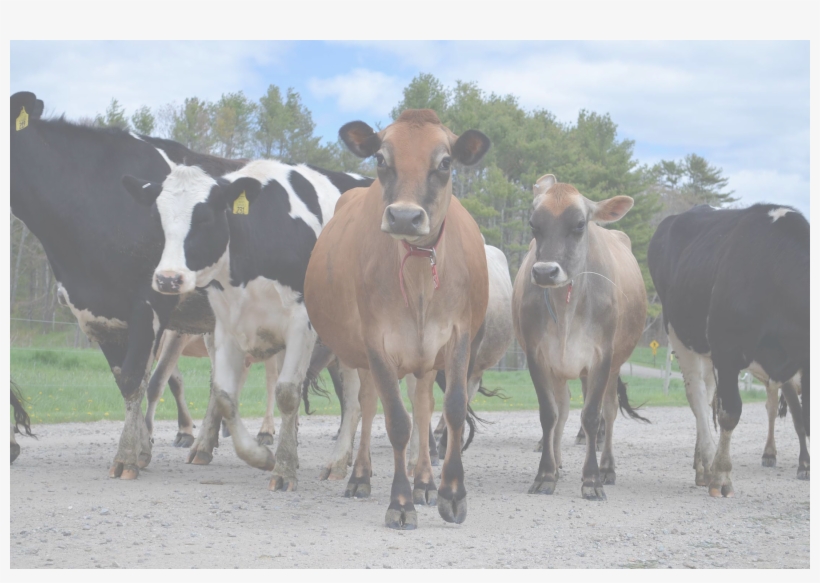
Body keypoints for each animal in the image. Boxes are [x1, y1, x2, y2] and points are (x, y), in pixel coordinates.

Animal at [10, 92, 243, 480]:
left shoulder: (152, 301)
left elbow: (137, 379)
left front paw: (129, 459)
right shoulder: (96, 310)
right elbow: (126, 379)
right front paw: (141, 450)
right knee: (219, 380)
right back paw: (203, 448)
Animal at [124, 159, 372, 488]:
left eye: (205, 218)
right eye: (158, 219)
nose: (167, 279)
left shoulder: (301, 323)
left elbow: (287, 394)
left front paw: (284, 470)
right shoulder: (227, 327)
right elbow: (224, 396)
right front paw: (260, 457)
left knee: (357, 402)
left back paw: (343, 464)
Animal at [306, 109, 486, 528]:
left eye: (445, 162)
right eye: (381, 159)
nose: (404, 216)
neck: (419, 275)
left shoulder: (457, 337)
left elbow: (452, 410)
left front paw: (451, 494)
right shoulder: (377, 343)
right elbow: (396, 422)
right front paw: (400, 502)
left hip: (424, 360)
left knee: (422, 406)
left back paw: (425, 482)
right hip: (358, 354)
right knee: (368, 405)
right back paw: (360, 476)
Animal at [512, 175, 648, 502]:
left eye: (579, 224)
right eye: (534, 225)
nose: (545, 272)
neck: (566, 309)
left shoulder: (601, 358)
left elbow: (591, 417)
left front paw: (592, 480)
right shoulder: (537, 356)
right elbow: (549, 414)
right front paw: (546, 474)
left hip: (612, 366)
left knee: (608, 412)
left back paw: (607, 468)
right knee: (562, 410)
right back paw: (558, 463)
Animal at [652, 203, 812, 496]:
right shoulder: (727, 351)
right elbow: (730, 413)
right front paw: (722, 476)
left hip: (707, 352)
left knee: (706, 398)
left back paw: (702, 465)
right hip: (679, 335)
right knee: (698, 397)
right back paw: (708, 462)